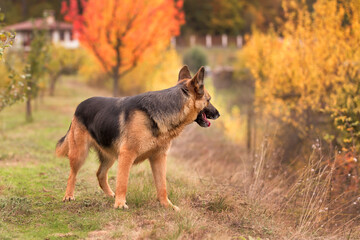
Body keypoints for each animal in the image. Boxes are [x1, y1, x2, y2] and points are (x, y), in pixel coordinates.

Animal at [56, 65, 219, 210]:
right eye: (209, 100)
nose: (218, 114)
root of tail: (80, 105)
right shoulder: (127, 155)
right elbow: (123, 182)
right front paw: (120, 204)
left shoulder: (159, 158)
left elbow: (162, 186)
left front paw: (167, 205)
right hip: (79, 154)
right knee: (72, 174)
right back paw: (68, 195)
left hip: (110, 156)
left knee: (100, 174)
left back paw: (110, 195)